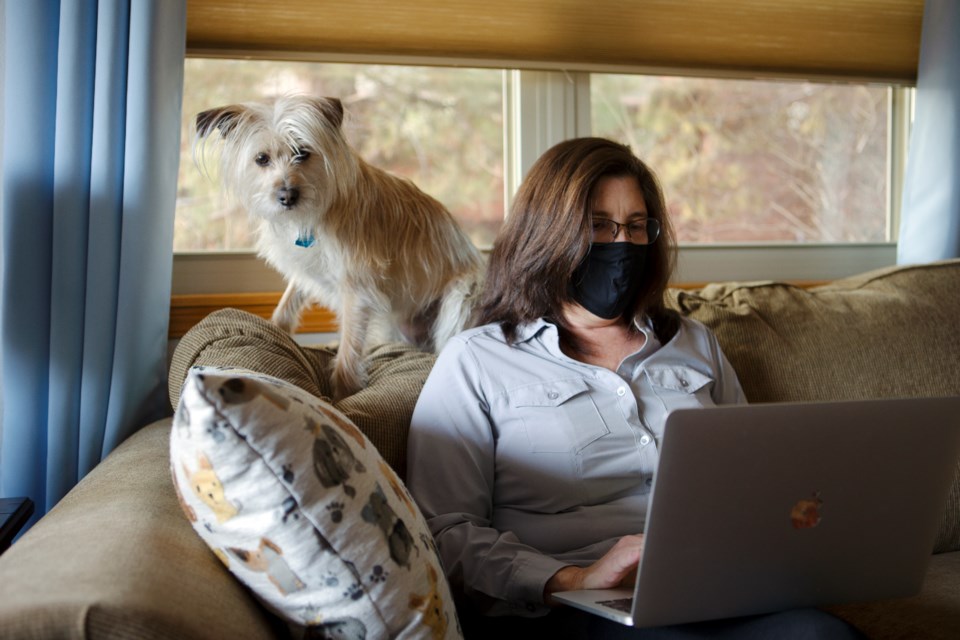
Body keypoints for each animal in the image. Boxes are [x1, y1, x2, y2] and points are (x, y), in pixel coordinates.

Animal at [193, 95, 488, 398]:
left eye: (302, 153)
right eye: (261, 159)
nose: (287, 196)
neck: (313, 215)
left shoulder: (357, 290)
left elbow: (349, 347)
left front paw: (341, 395)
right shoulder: (306, 268)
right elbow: (285, 308)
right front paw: (275, 331)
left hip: (462, 295)